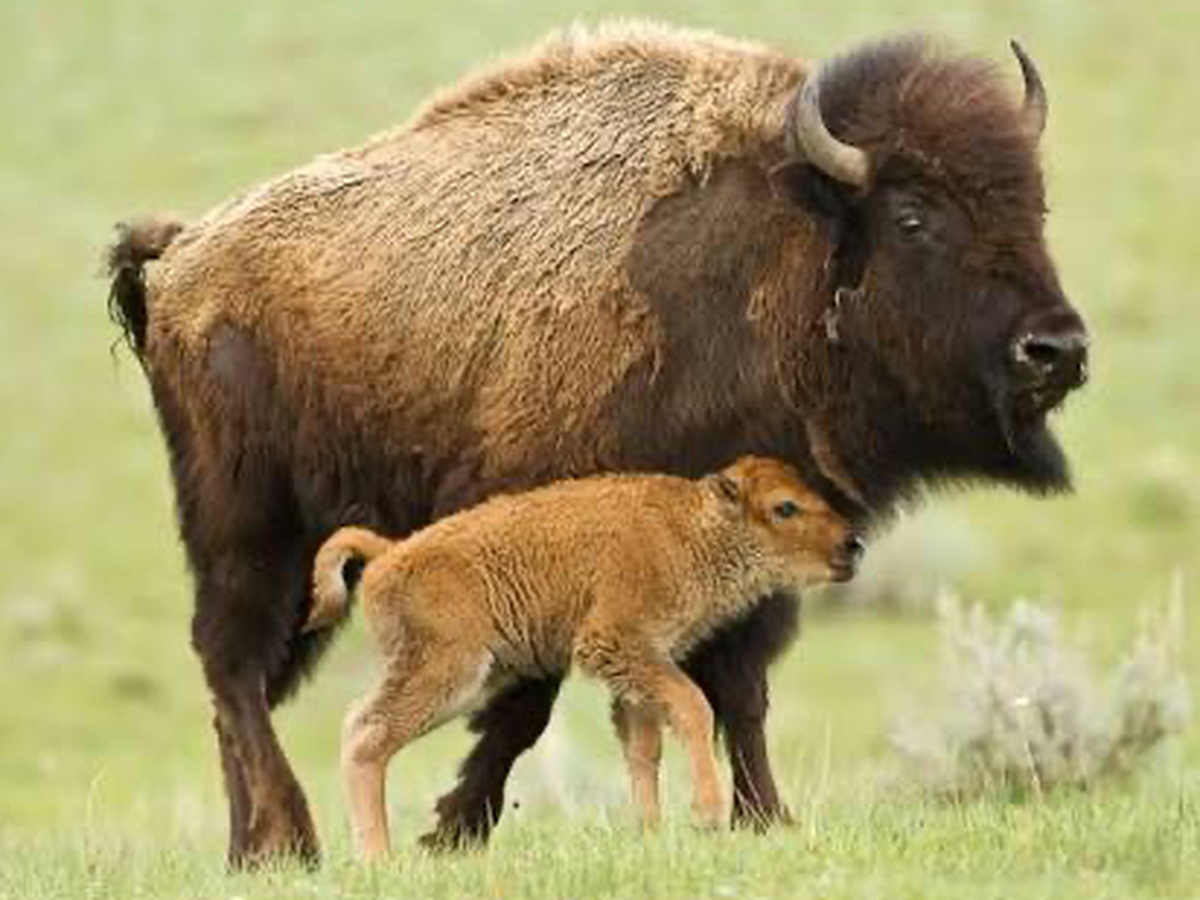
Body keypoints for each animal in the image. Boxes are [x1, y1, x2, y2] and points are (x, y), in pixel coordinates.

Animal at [105, 23, 1088, 867]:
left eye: (1037, 204)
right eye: (916, 216)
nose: (1058, 349)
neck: (787, 244)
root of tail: (183, 254)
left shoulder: (751, 566)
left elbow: (740, 692)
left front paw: (765, 818)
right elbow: (531, 701)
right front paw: (455, 829)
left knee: (242, 688)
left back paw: (252, 847)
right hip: (244, 524)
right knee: (233, 667)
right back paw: (289, 841)